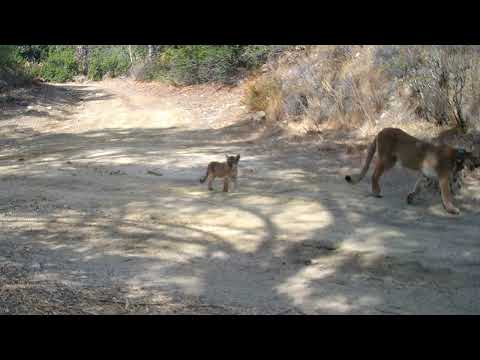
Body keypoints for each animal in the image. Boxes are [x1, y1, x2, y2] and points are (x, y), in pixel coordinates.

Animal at [344, 128, 480, 215]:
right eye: (475, 158)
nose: (478, 164)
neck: (457, 158)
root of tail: (380, 131)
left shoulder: (426, 175)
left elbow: (418, 186)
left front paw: (410, 197)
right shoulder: (443, 178)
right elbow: (446, 195)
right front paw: (452, 209)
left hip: (390, 160)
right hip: (387, 159)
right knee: (374, 174)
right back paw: (376, 192)